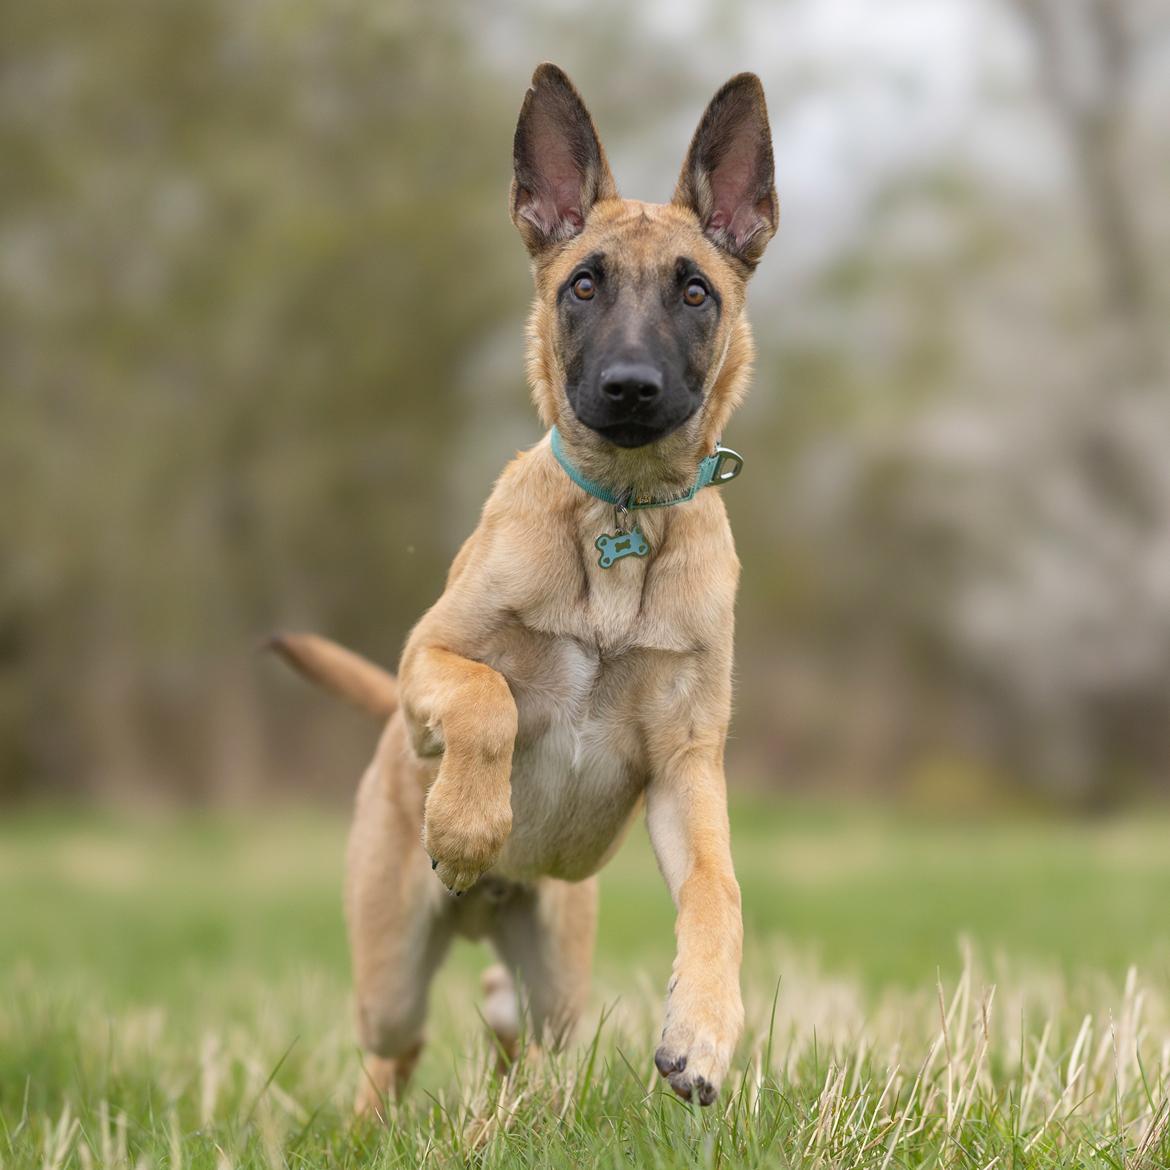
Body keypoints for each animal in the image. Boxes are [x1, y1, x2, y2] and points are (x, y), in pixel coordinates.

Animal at [267, 59, 772, 1109]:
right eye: (583, 284)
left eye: (695, 291)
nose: (629, 388)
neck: (622, 520)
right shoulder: (429, 657)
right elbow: (488, 697)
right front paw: (467, 825)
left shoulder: (687, 765)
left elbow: (718, 888)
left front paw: (702, 1033)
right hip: (388, 970)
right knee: (395, 1043)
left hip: (559, 977)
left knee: (520, 1039)